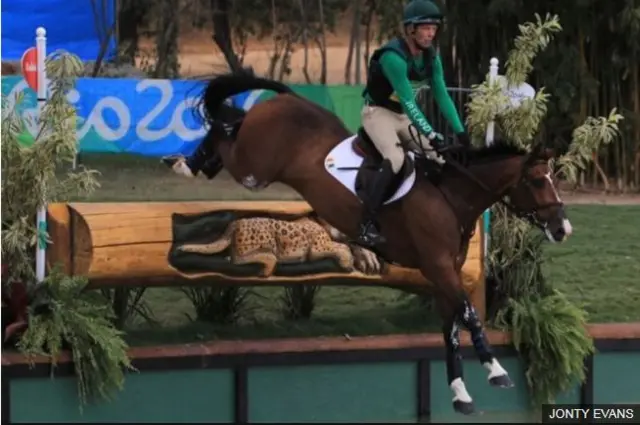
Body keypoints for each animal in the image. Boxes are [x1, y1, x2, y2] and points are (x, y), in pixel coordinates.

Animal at [191, 72, 576, 414]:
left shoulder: (444, 272)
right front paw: (495, 371)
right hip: (254, 169)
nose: (563, 229)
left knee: (230, 122)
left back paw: (201, 159)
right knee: (227, 131)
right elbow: (468, 313)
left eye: (554, 180)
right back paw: (191, 160)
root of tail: (285, 101)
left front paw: (460, 393)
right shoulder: (437, 265)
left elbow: (452, 326)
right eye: (538, 182)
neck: (450, 195)